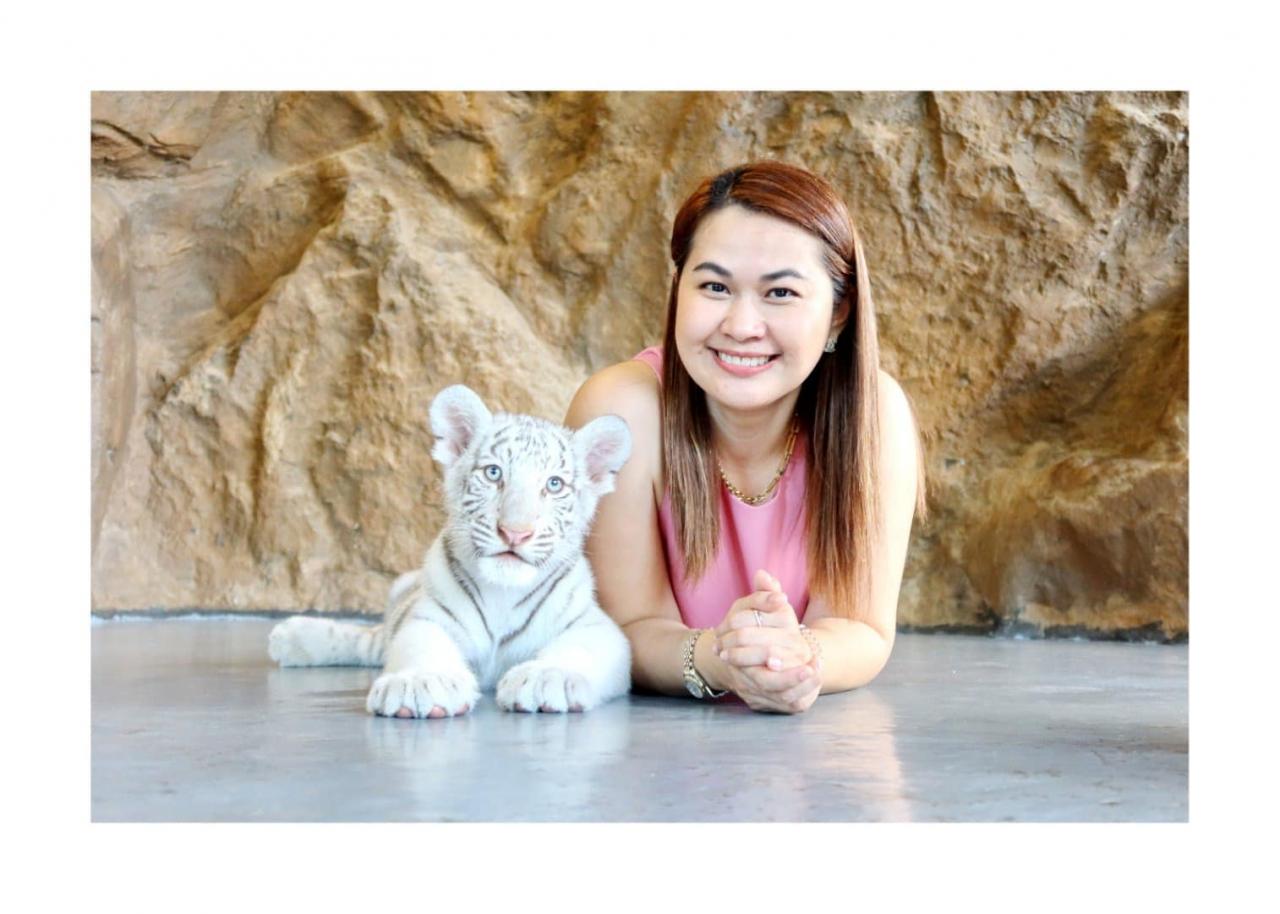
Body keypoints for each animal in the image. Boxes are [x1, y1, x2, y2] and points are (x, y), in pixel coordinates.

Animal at [267, 383, 633, 718]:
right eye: (493, 473)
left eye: (554, 484)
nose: (515, 533)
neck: (504, 593)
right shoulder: (427, 615)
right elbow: (422, 646)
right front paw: (420, 683)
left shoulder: (598, 627)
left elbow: (580, 649)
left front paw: (547, 677)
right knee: (370, 640)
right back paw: (291, 636)